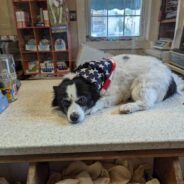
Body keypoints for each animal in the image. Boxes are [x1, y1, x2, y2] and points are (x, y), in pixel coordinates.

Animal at [52, 54, 184, 123]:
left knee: (146, 103)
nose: (74, 117)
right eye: (65, 102)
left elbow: (101, 100)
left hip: (141, 83)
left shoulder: (117, 95)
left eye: (83, 100)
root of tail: (171, 77)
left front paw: (92, 108)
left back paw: (128, 107)